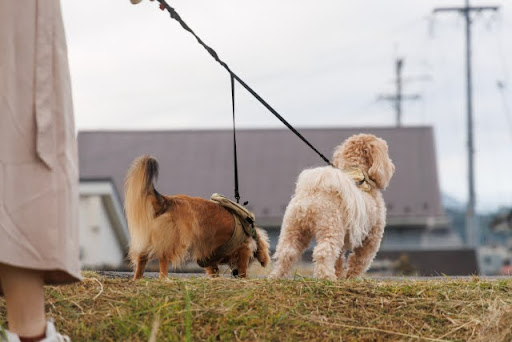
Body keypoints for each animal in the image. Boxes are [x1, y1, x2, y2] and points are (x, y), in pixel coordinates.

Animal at [124, 156, 270, 280]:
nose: (234, 273)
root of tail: (167, 201)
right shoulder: (243, 250)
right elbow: (243, 266)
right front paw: (243, 277)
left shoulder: (207, 254)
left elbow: (213, 269)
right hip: (176, 240)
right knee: (163, 257)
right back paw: (164, 279)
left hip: (150, 238)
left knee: (142, 257)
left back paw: (138, 278)